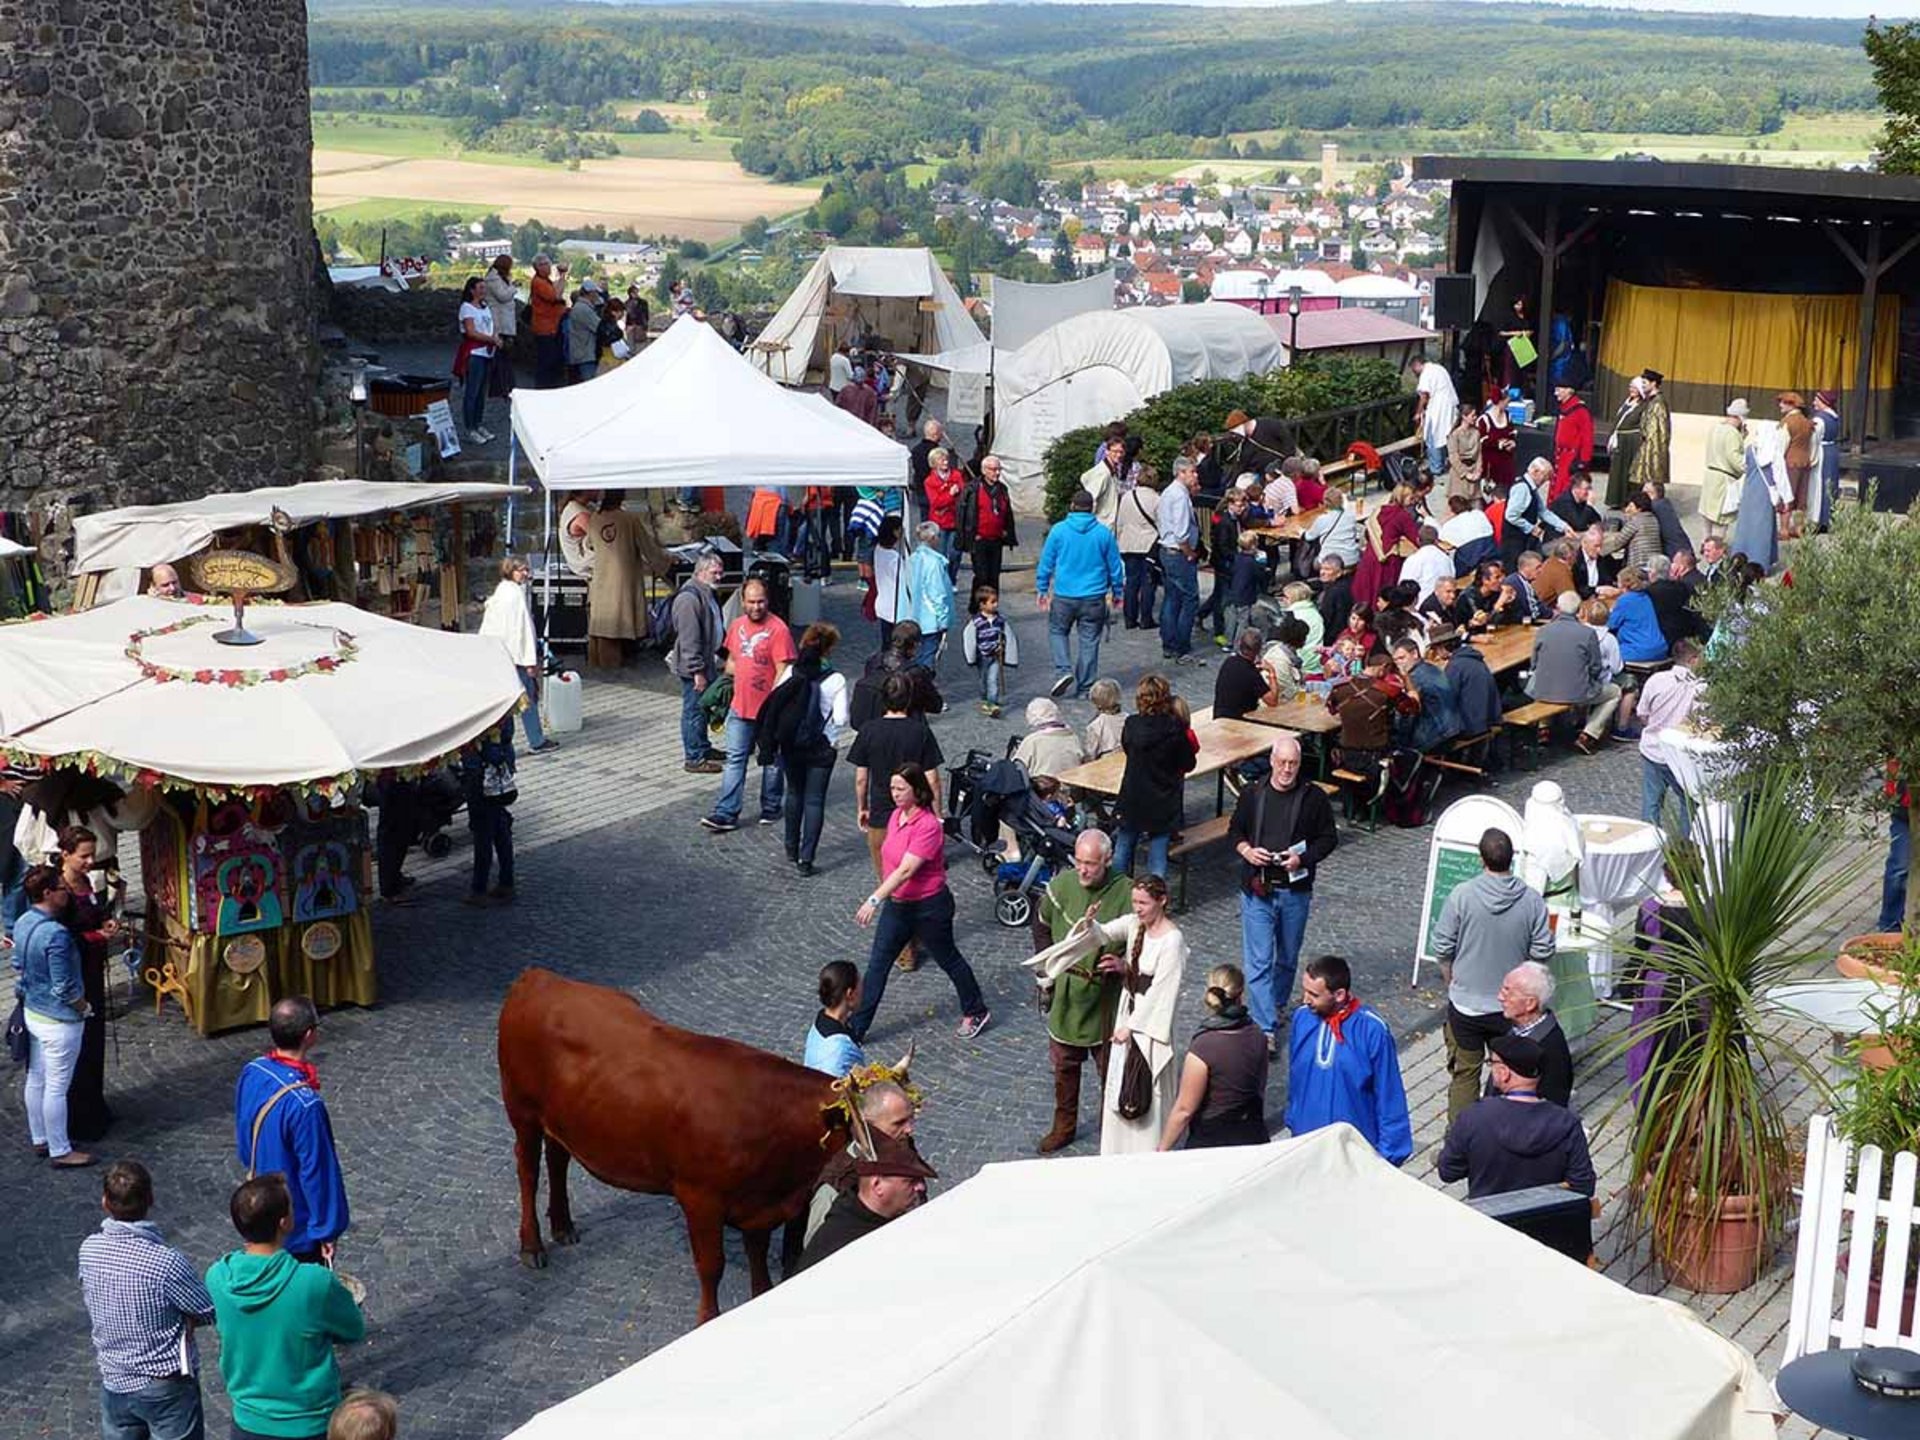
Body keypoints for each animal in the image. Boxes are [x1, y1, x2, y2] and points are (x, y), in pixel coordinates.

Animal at [499, 975, 852, 1328]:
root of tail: (539, 977)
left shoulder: (758, 1203)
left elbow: (758, 1256)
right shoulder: (699, 1197)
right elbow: (711, 1265)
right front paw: (708, 1320)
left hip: (561, 1120)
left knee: (558, 1160)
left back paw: (563, 1226)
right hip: (522, 1111)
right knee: (528, 1172)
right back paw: (532, 1245)